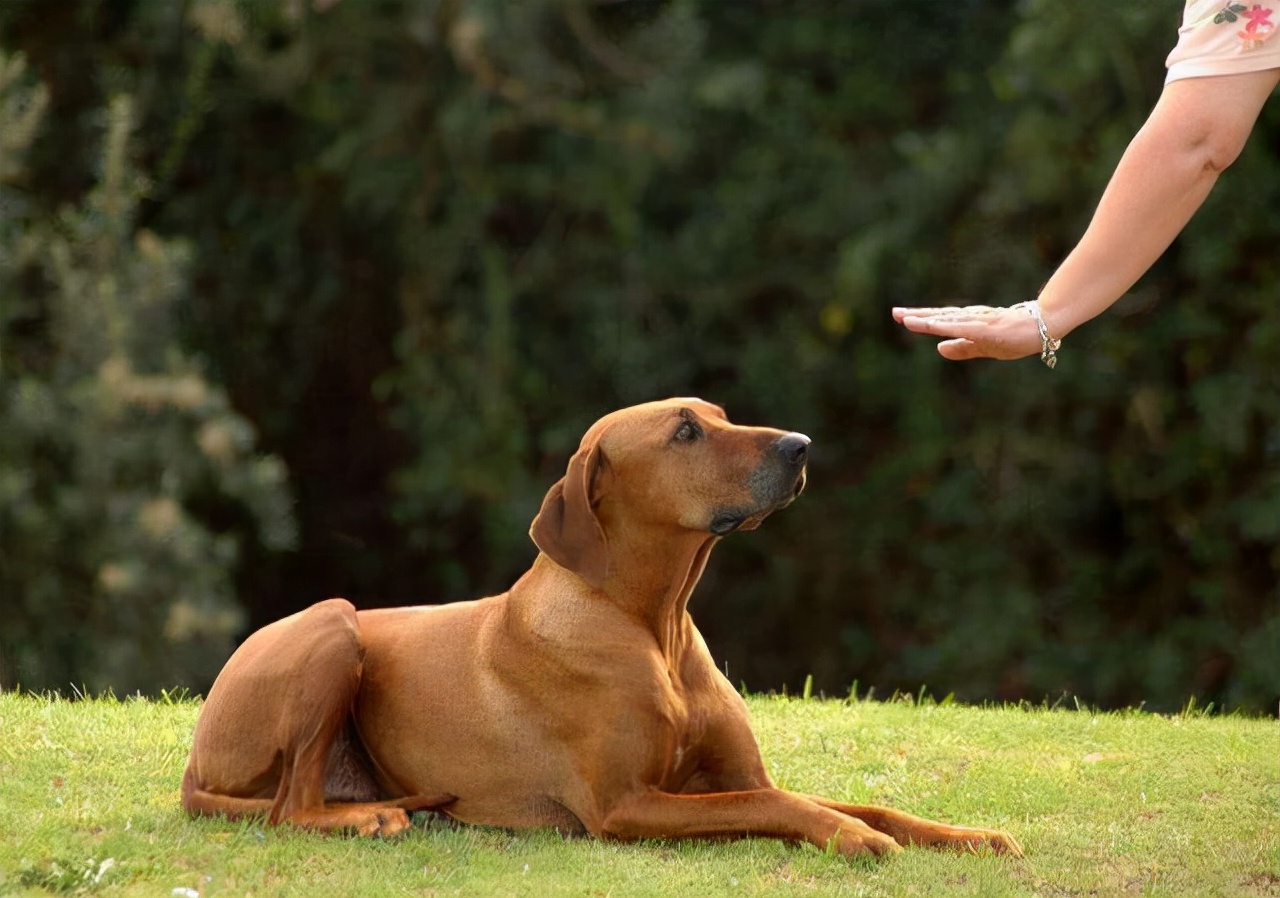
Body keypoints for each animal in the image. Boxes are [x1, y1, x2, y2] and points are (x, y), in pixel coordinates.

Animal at [183, 399, 1018, 859]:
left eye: (720, 415)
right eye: (685, 432)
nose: (800, 446)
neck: (654, 625)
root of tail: (195, 762)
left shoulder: (739, 775)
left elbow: (857, 802)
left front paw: (968, 836)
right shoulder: (625, 805)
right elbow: (780, 808)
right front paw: (854, 840)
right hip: (333, 624)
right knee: (290, 807)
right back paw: (372, 818)